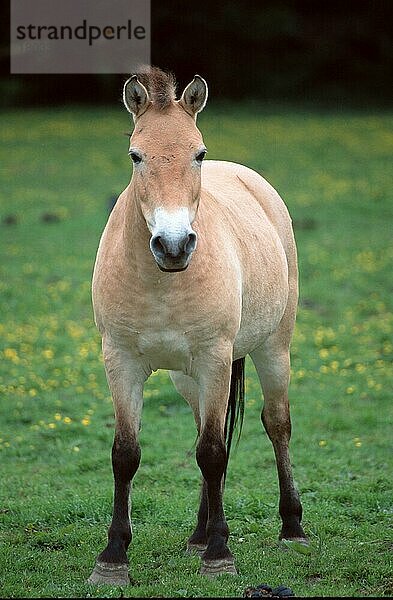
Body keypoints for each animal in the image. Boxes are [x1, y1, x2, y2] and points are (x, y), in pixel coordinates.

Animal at [89, 67, 306, 584]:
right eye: (136, 155)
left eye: (198, 153)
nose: (173, 245)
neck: (162, 281)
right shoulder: (121, 361)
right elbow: (126, 454)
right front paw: (113, 557)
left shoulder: (215, 359)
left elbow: (213, 452)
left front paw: (220, 556)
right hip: (187, 378)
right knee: (204, 434)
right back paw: (198, 534)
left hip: (272, 350)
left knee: (277, 424)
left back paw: (291, 528)